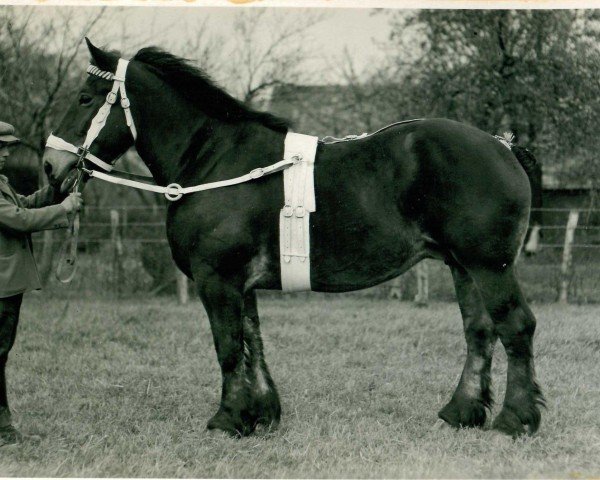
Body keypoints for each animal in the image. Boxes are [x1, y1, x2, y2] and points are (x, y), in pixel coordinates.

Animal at [44, 41, 548, 438]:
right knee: (480, 332)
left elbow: (229, 347)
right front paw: (261, 413)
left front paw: (228, 418)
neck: (215, 160)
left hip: (490, 267)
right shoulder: (240, 285)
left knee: (516, 327)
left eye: (85, 98)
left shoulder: (218, 280)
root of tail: (502, 145)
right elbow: (254, 343)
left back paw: (515, 419)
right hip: (463, 267)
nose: (52, 165)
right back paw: (462, 411)